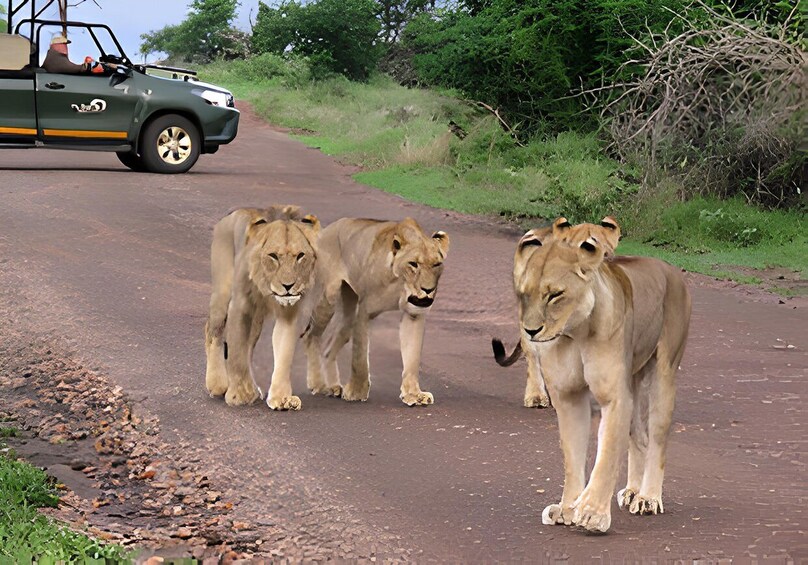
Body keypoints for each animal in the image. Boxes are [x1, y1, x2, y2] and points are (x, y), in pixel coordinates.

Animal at [204, 205, 320, 411]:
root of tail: (233, 212)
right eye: (273, 256)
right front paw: (239, 395)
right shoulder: (240, 306)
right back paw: (217, 384)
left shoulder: (288, 313)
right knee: (212, 331)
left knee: (249, 347)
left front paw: (281, 398)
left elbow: (284, 352)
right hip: (222, 294)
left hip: (256, 318)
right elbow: (237, 353)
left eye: (300, 256)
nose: (288, 286)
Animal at [303, 217, 449, 406]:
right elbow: (359, 357)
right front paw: (356, 392)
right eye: (413, 264)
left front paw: (414, 394)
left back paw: (333, 386)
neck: (400, 283)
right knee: (310, 335)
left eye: (436, 264)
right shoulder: (364, 311)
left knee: (328, 349)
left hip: (348, 314)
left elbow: (412, 357)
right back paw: (318, 384)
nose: (428, 290)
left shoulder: (414, 314)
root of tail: (326, 230)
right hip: (328, 298)